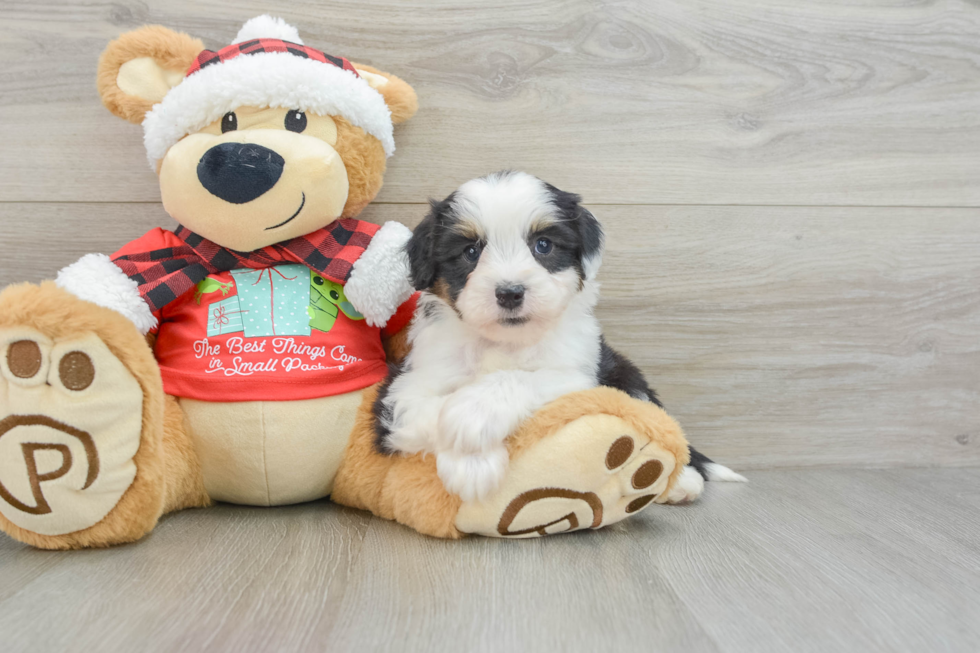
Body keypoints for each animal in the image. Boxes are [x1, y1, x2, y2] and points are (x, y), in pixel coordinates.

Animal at [376, 172, 744, 500]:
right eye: (470, 252)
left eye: (543, 245)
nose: (510, 293)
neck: (506, 341)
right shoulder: (405, 388)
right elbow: (427, 410)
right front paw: (473, 464)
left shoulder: (581, 375)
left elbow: (523, 378)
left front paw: (473, 417)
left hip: (624, 374)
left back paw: (683, 482)